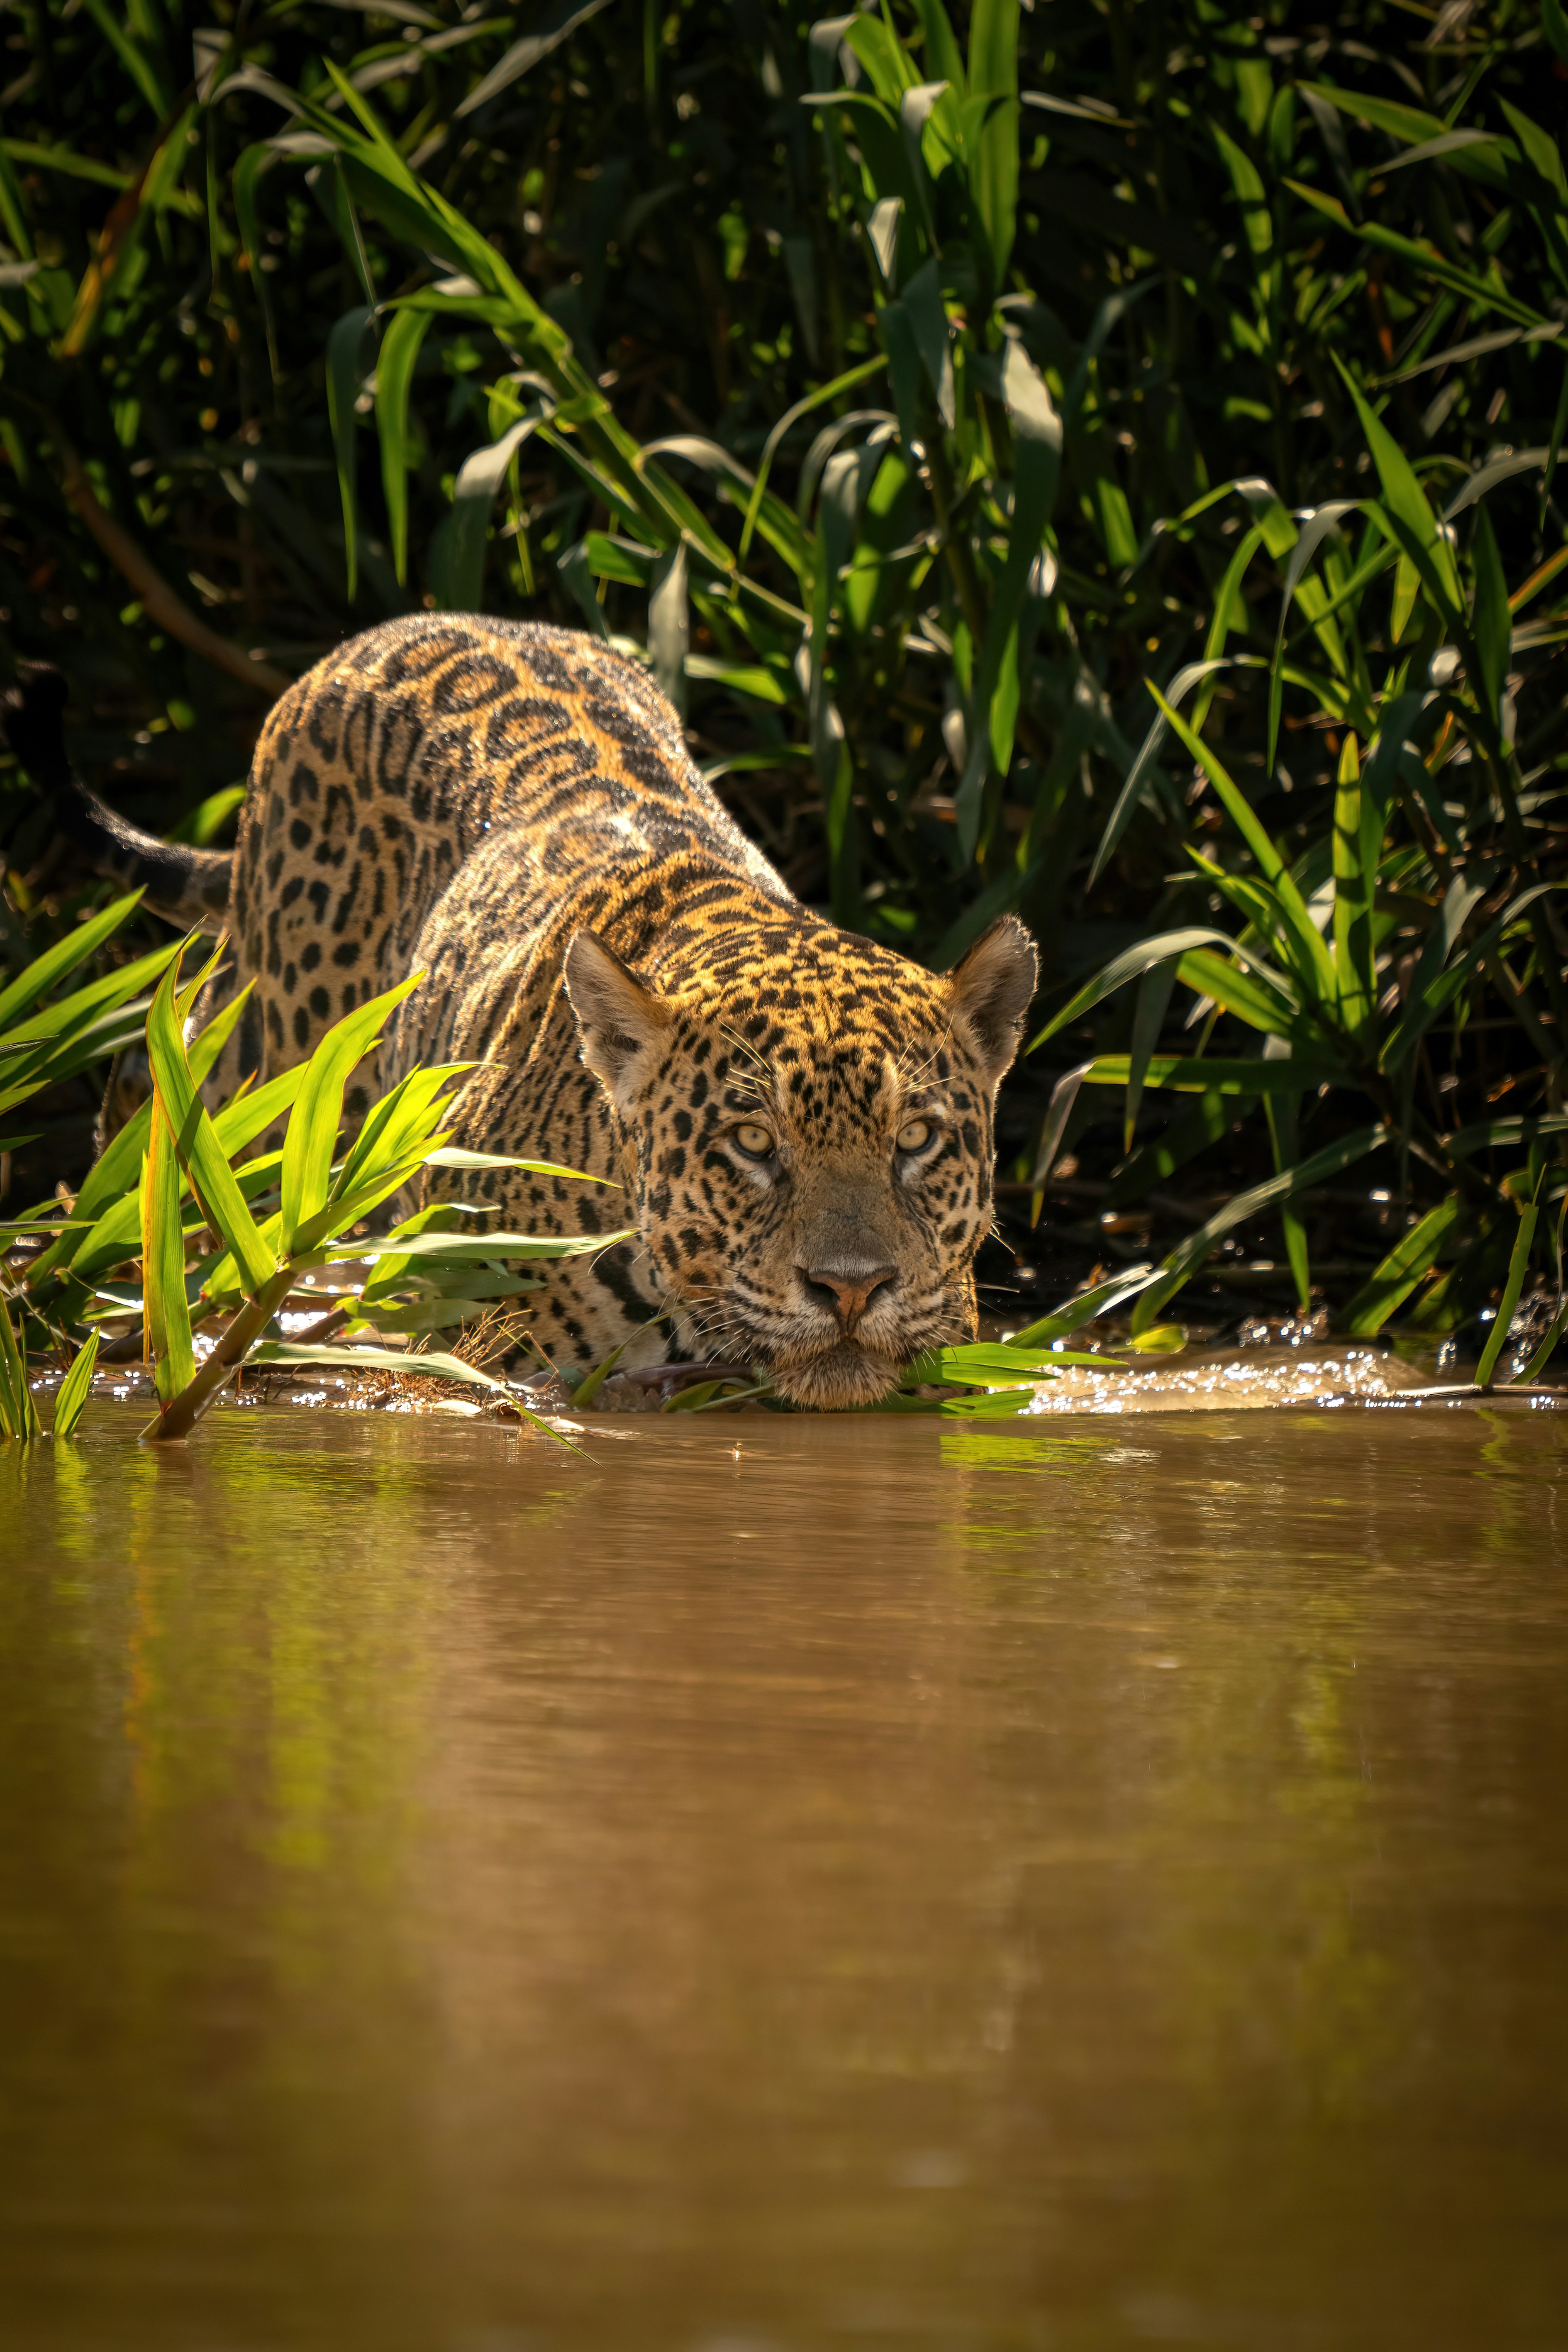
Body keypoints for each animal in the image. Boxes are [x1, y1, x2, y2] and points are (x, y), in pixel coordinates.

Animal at [11, 617, 1037, 1409]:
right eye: (750, 1143)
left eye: (915, 1139)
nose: (851, 1290)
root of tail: (384, 631)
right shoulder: (485, 1366)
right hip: (274, 1059)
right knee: (172, 1086)